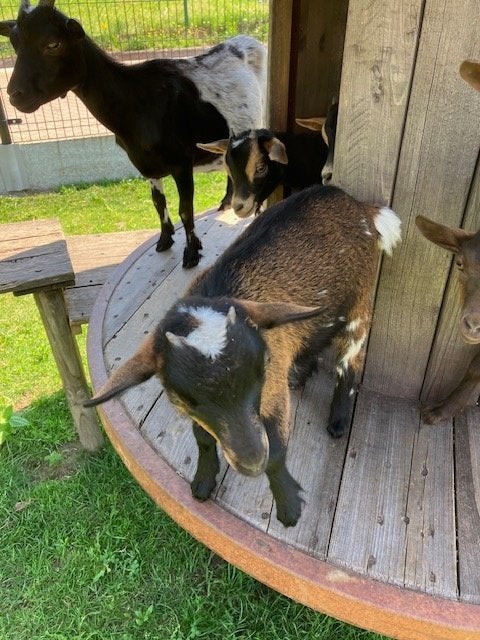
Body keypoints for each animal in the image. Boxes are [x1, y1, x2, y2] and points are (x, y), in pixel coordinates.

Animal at [0, 0, 266, 268]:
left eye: (53, 44)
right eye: (14, 43)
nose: (14, 95)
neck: (137, 101)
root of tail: (248, 41)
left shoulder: (181, 162)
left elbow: (185, 209)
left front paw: (191, 254)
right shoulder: (145, 165)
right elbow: (158, 203)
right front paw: (164, 240)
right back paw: (225, 203)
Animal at [85, 185, 401, 527]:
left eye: (261, 370)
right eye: (185, 399)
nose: (251, 464)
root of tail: (357, 204)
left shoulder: (274, 393)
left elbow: (277, 452)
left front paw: (289, 507)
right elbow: (203, 438)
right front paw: (202, 482)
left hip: (360, 302)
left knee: (351, 358)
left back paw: (339, 419)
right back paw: (300, 374)